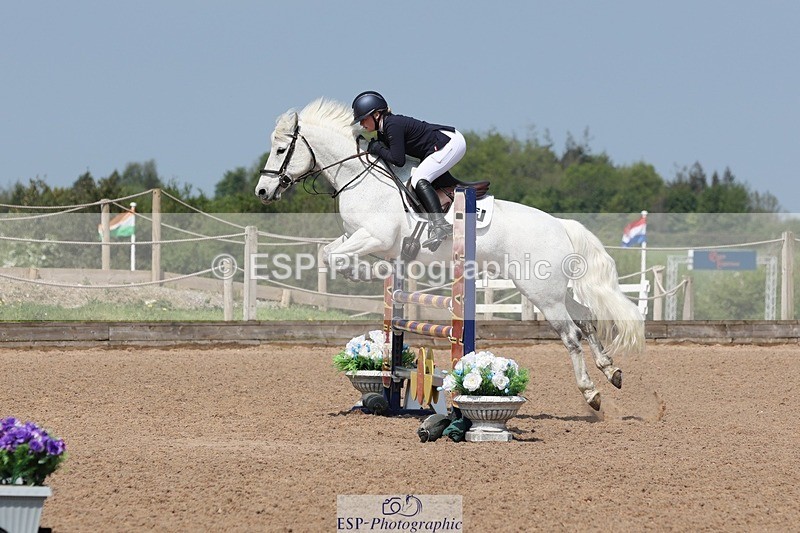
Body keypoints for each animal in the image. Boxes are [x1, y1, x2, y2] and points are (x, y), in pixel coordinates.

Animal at [254, 98, 645, 411]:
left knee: (571, 335)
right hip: (551, 289)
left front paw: (366, 275)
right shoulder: (357, 237)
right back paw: (612, 371)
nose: (262, 191)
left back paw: (591, 393)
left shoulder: (373, 236)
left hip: (542, 293)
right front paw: (373, 276)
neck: (359, 178)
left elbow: (333, 257)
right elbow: (330, 253)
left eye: (280, 150)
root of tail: (560, 224)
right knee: (587, 319)